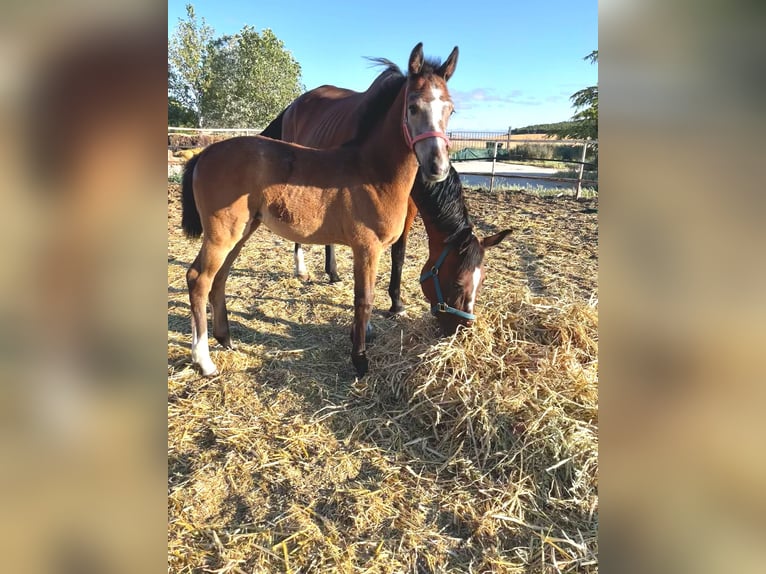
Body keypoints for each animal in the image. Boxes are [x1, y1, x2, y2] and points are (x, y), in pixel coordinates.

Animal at [181, 43, 458, 377]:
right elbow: (363, 299)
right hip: (222, 234)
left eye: (450, 109)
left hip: (242, 231)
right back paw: (204, 360)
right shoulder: (366, 247)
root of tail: (204, 153)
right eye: (413, 107)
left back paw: (226, 339)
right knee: (198, 279)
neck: (372, 171)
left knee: (219, 277)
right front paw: (360, 360)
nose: (437, 167)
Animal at [260, 66, 511, 335]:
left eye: (482, 280)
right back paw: (302, 270)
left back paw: (333, 273)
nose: (461, 329)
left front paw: (396, 304)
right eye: (456, 282)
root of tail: (293, 105)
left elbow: (398, 254)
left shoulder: (407, 210)